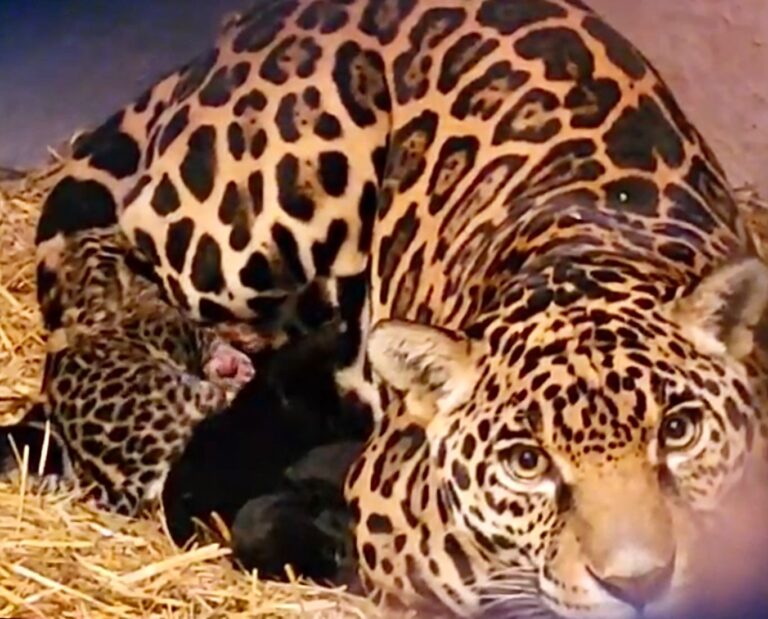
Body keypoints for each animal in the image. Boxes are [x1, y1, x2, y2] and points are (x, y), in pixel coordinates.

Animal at [31, 0, 768, 616]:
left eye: (680, 431)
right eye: (527, 463)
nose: (638, 583)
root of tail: (254, 20)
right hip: (241, 229)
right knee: (111, 264)